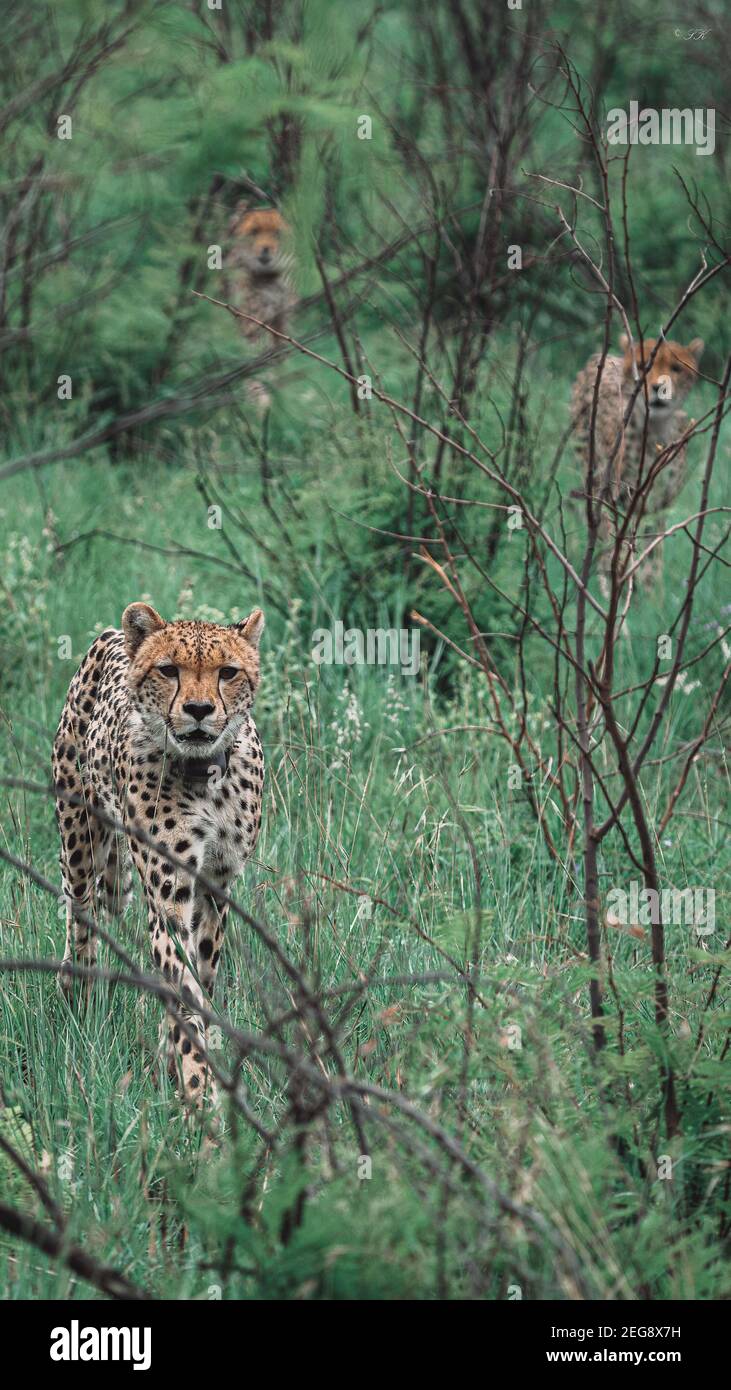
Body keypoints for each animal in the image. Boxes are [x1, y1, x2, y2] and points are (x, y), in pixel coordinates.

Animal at [53, 603, 266, 1112]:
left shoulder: (216, 885)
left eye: (228, 672)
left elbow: (200, 976)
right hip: (79, 839)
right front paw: (198, 1093)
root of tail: (111, 635)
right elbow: (182, 985)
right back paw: (77, 992)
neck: (205, 775)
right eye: (169, 670)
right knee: (81, 914)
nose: (199, 711)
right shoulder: (169, 892)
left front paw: (181, 1063)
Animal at [572, 333, 705, 589]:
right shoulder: (617, 496)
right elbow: (616, 538)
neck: (655, 428)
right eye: (643, 366)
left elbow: (652, 553)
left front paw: (649, 593)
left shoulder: (657, 504)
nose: (659, 387)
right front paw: (618, 581)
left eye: (675, 368)